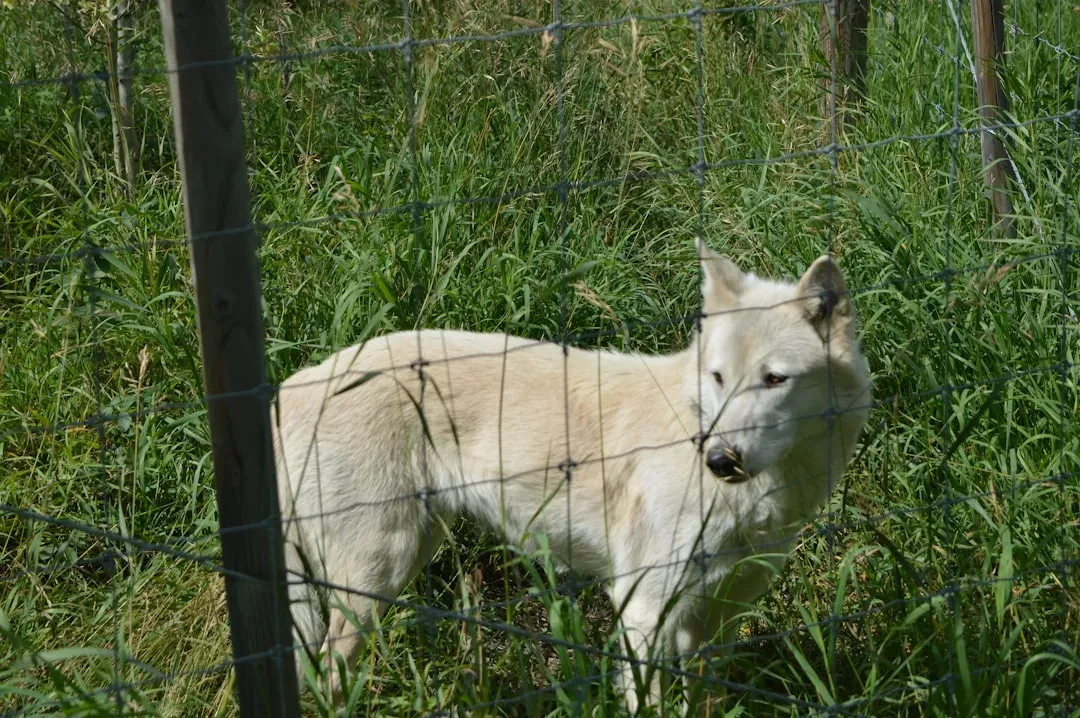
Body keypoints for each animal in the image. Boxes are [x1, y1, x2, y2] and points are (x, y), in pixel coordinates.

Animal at [272, 239, 871, 712]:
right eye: (719, 378)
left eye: (774, 380)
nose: (719, 460)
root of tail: (286, 390)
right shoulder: (644, 610)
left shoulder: (716, 619)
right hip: (374, 579)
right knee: (327, 675)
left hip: (408, 555)